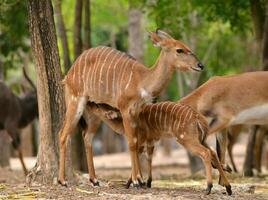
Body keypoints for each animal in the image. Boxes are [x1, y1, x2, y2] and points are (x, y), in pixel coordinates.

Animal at [58, 28, 203, 187]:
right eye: (179, 50)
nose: (200, 65)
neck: (142, 80)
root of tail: (68, 75)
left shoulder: (137, 112)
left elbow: (136, 142)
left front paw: (138, 180)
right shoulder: (125, 109)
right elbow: (132, 143)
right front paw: (136, 181)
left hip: (93, 115)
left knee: (87, 137)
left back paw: (94, 180)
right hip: (75, 101)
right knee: (63, 134)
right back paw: (62, 180)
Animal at [84, 101, 232, 195]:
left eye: (97, 105)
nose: (88, 104)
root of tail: (198, 117)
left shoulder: (140, 142)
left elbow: (137, 158)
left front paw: (134, 183)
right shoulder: (150, 141)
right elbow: (148, 158)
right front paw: (146, 182)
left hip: (186, 140)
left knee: (206, 153)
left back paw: (208, 188)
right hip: (202, 139)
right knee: (213, 152)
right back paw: (228, 187)